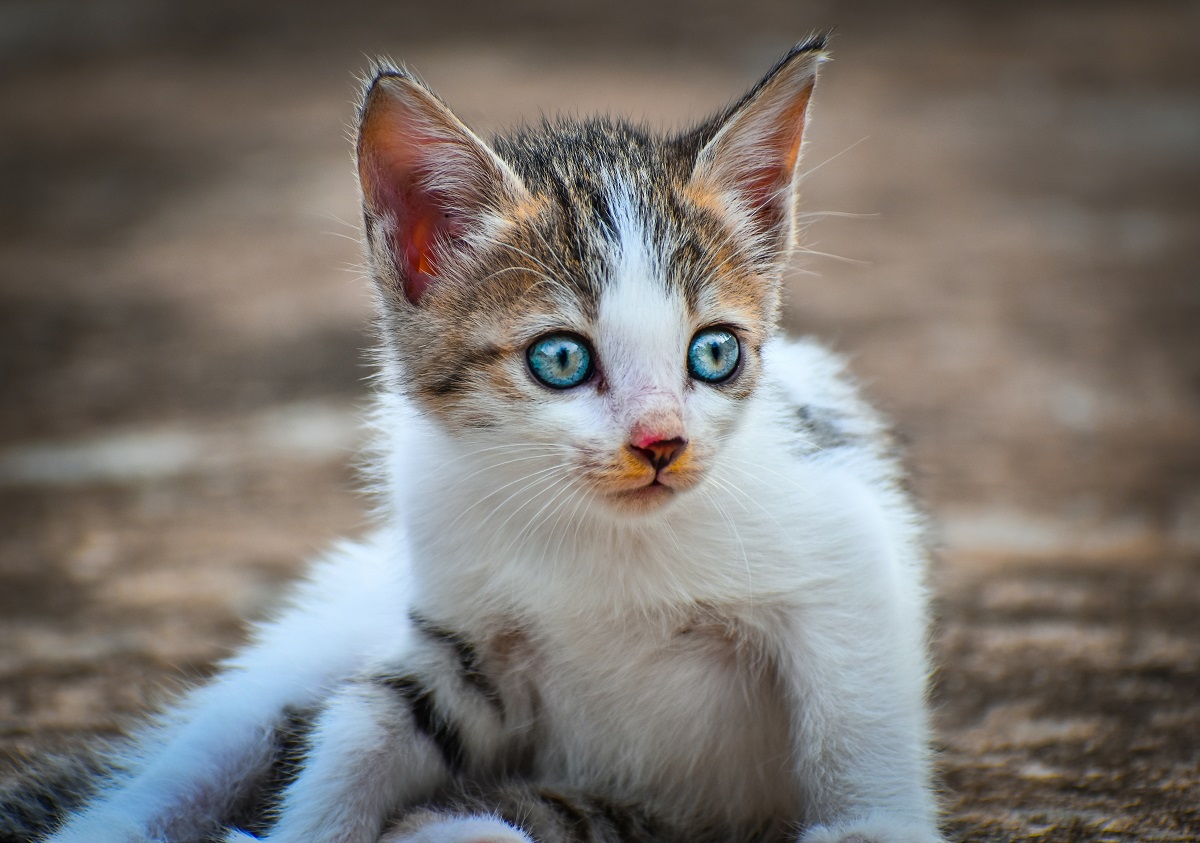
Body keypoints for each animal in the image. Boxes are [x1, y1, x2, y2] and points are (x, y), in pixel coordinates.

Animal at [14, 36, 940, 843]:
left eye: (714, 353)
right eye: (560, 359)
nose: (660, 442)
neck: (603, 538)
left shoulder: (841, 531)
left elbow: (858, 701)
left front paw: (871, 824)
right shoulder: (461, 637)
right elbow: (367, 723)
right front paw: (313, 827)